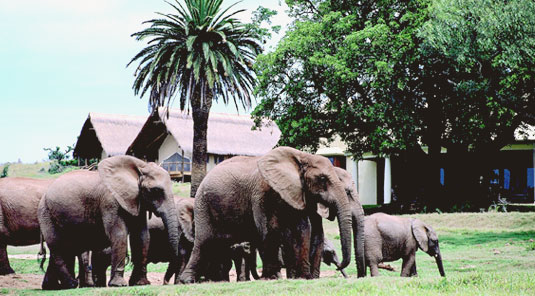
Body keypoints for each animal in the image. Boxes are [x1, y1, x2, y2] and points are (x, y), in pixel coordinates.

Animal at [37, 156, 181, 290]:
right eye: (155, 190)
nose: (166, 283)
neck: (139, 167)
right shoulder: (110, 202)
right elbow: (119, 234)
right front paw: (119, 285)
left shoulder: (136, 200)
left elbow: (142, 236)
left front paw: (141, 284)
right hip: (46, 214)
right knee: (58, 247)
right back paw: (71, 284)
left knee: (65, 248)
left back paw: (52, 287)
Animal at [180, 147, 356, 284]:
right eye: (322, 178)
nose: (339, 267)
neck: (302, 157)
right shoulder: (263, 193)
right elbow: (269, 230)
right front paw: (273, 278)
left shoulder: (295, 193)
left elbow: (303, 230)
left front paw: (303, 277)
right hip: (203, 206)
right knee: (203, 242)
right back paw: (187, 281)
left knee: (217, 245)